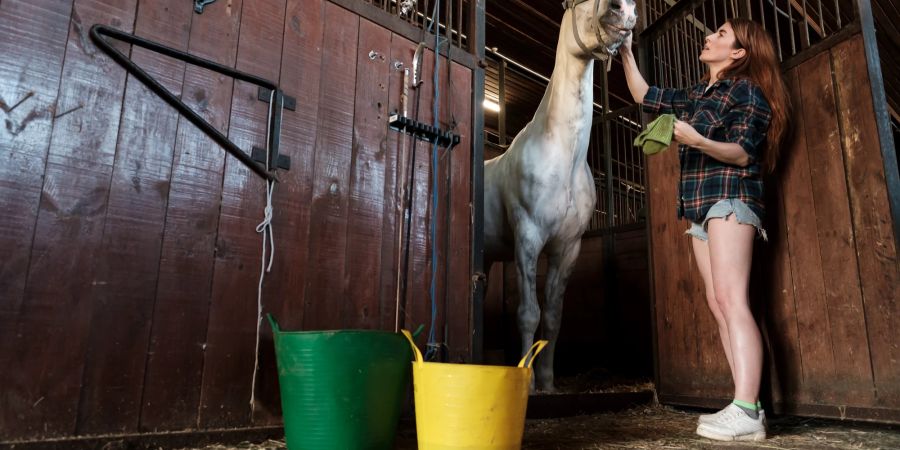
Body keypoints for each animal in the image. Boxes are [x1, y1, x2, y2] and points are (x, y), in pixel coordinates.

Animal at [482, 0, 636, 392]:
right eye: (575, 2)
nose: (623, 9)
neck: (562, 155)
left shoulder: (567, 249)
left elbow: (552, 317)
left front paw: (549, 383)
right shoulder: (528, 238)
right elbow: (528, 313)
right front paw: (528, 383)